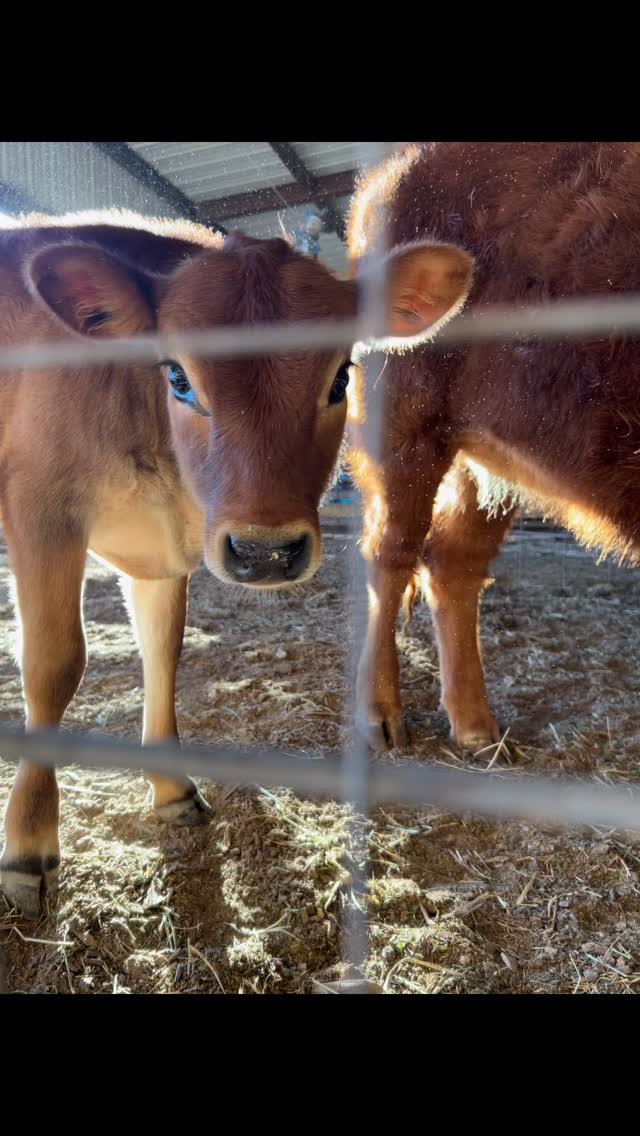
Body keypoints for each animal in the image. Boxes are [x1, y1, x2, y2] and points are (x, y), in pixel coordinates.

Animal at [0, 208, 443, 917]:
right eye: (178, 378)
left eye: (341, 377)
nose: (266, 550)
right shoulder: (41, 506)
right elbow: (53, 664)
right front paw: (29, 845)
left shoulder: (160, 552)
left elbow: (164, 650)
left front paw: (172, 789)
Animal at [346, 142, 640, 753]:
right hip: (401, 424)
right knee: (391, 551)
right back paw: (379, 719)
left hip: (481, 462)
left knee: (451, 559)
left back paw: (477, 728)